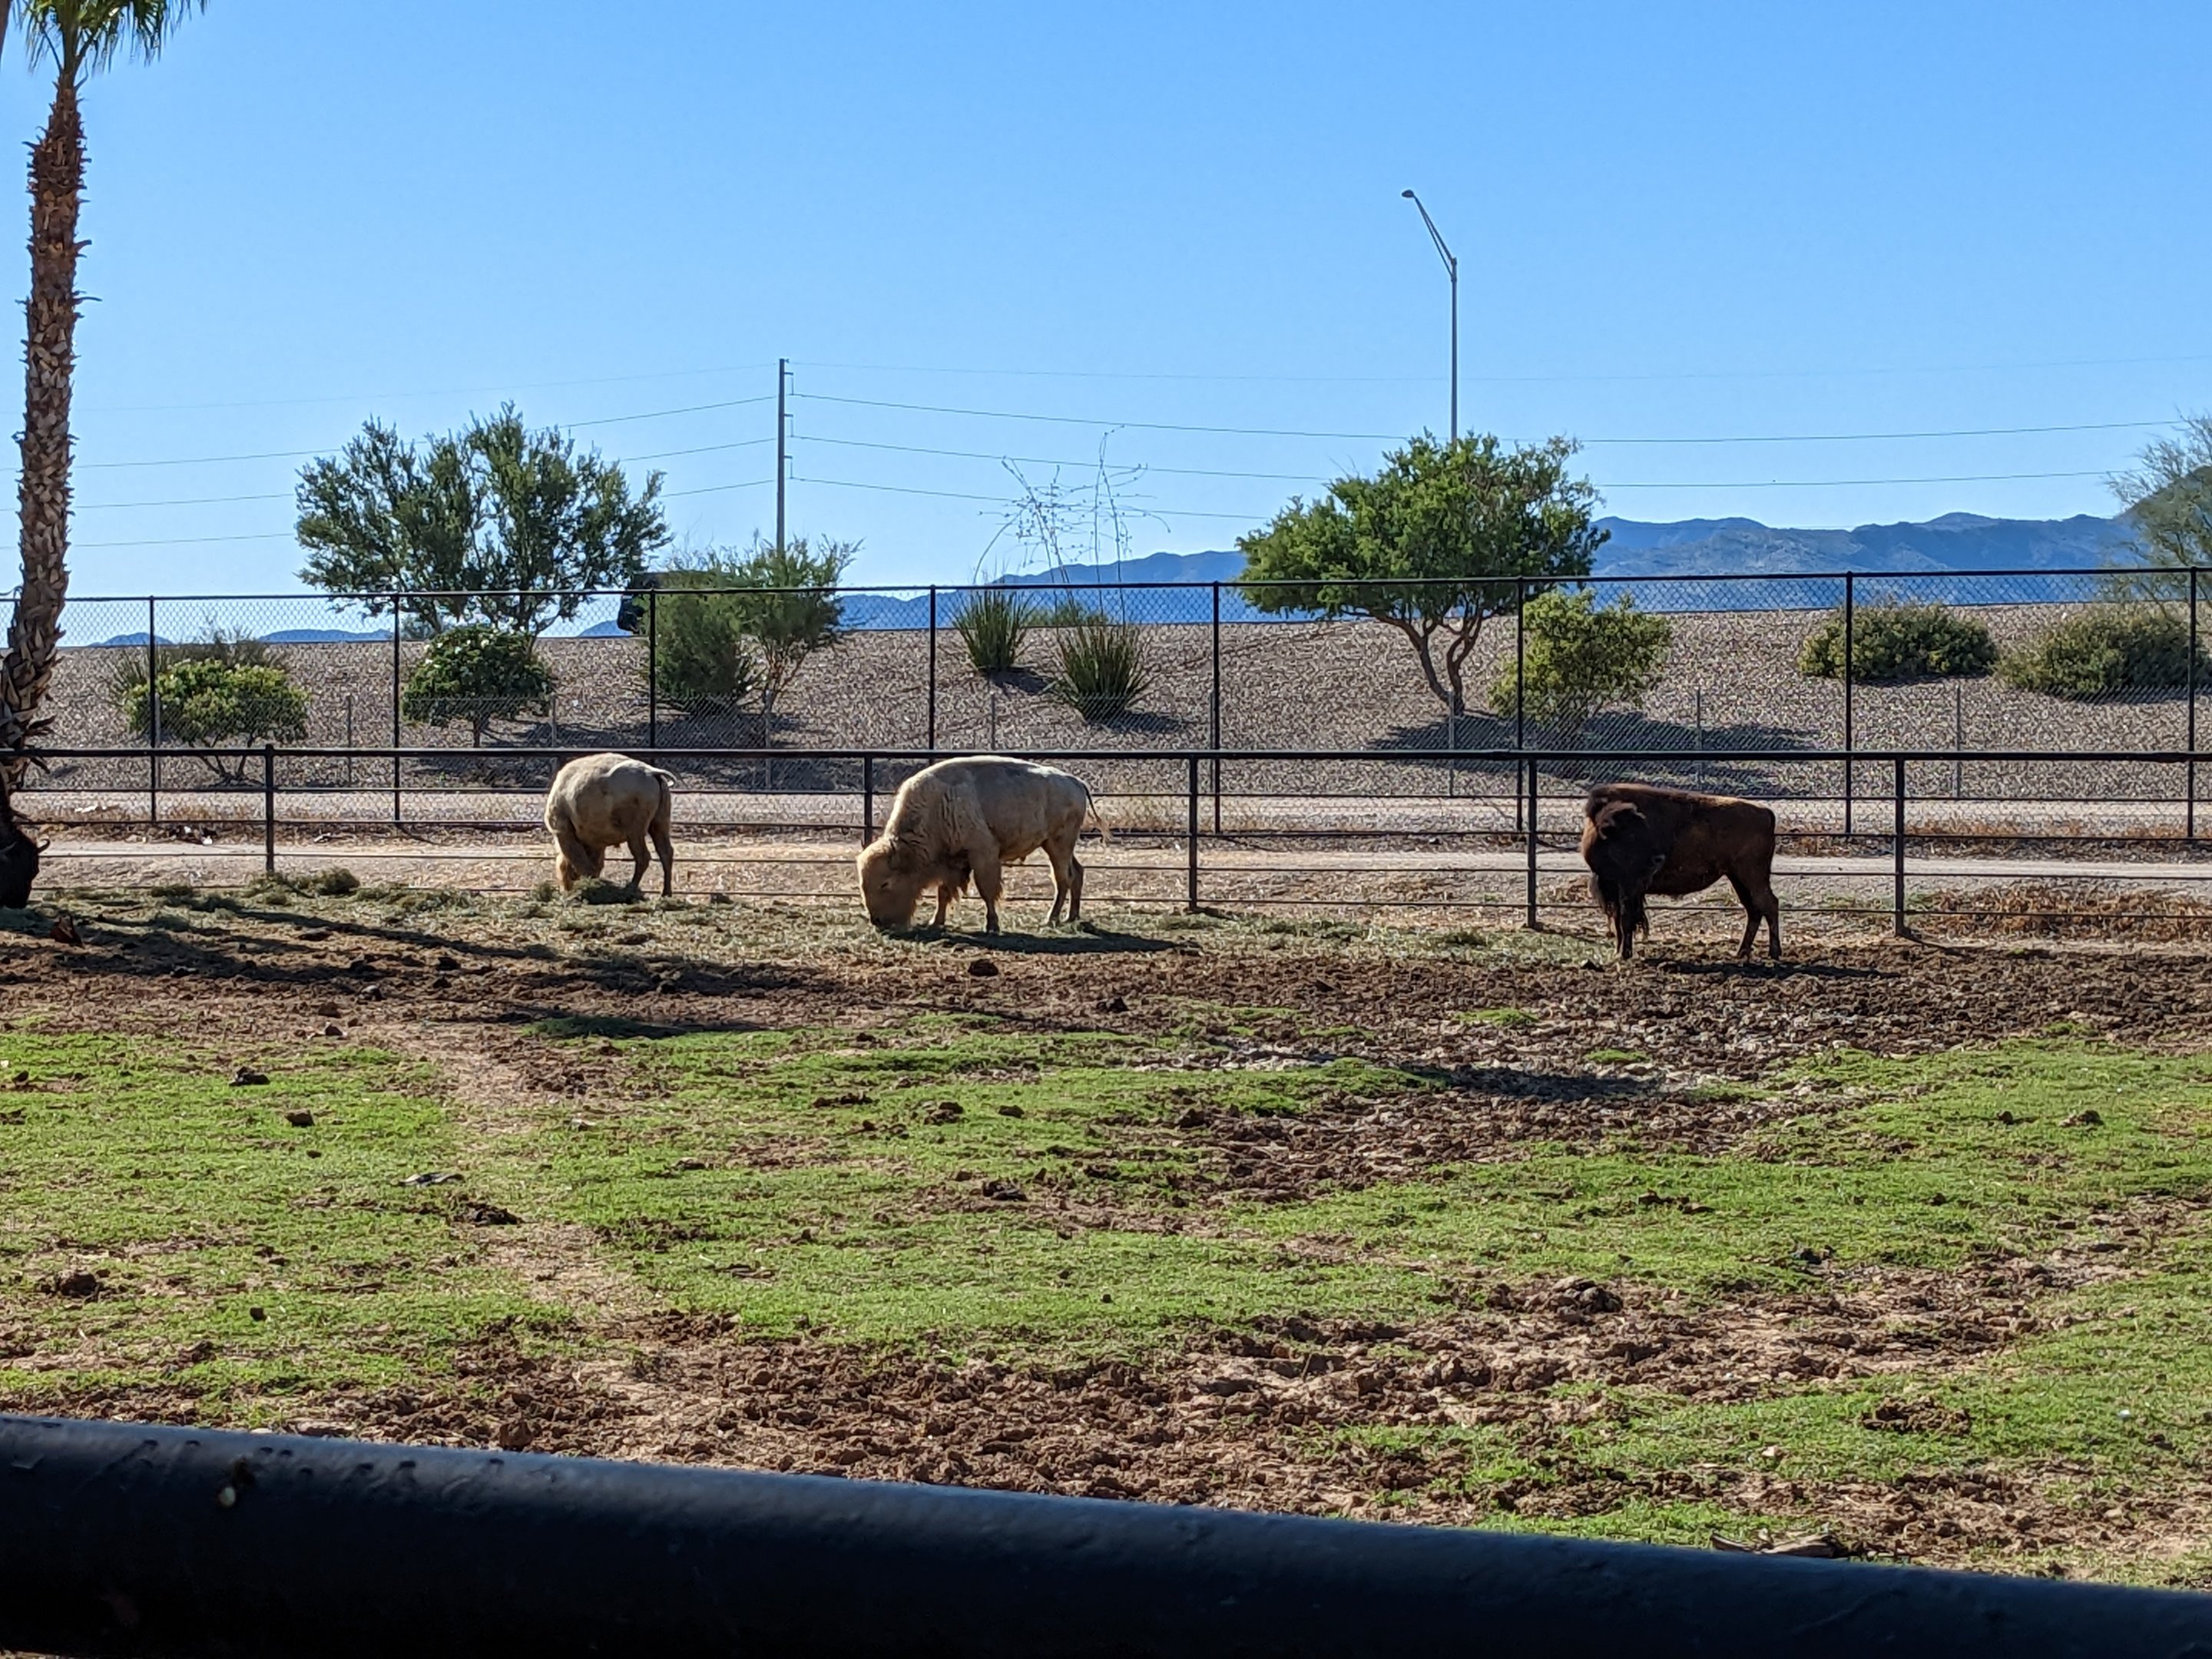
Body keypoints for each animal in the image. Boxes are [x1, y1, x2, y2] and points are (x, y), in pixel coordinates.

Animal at [1580, 782, 1779, 961]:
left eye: (1640, 831)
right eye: (1628, 835)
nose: (1658, 859)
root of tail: (1766, 813)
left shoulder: (1629, 888)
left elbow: (1626, 919)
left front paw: (1624, 955)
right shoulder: (1615, 889)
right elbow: (1618, 922)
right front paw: (1618, 953)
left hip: (1752, 877)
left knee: (1769, 904)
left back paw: (1773, 953)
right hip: (1737, 878)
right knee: (1754, 909)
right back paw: (1741, 953)